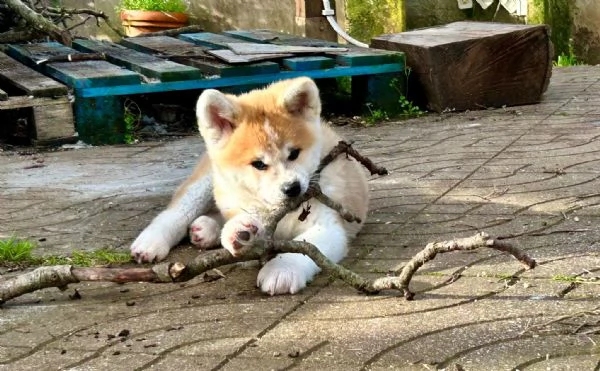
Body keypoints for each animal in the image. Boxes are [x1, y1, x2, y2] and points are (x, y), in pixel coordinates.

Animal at [129, 77, 368, 294]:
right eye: (259, 164)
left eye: (294, 154)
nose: (292, 188)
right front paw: (240, 232)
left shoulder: (328, 225)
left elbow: (305, 247)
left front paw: (281, 269)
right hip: (207, 182)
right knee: (178, 211)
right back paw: (151, 242)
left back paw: (206, 229)